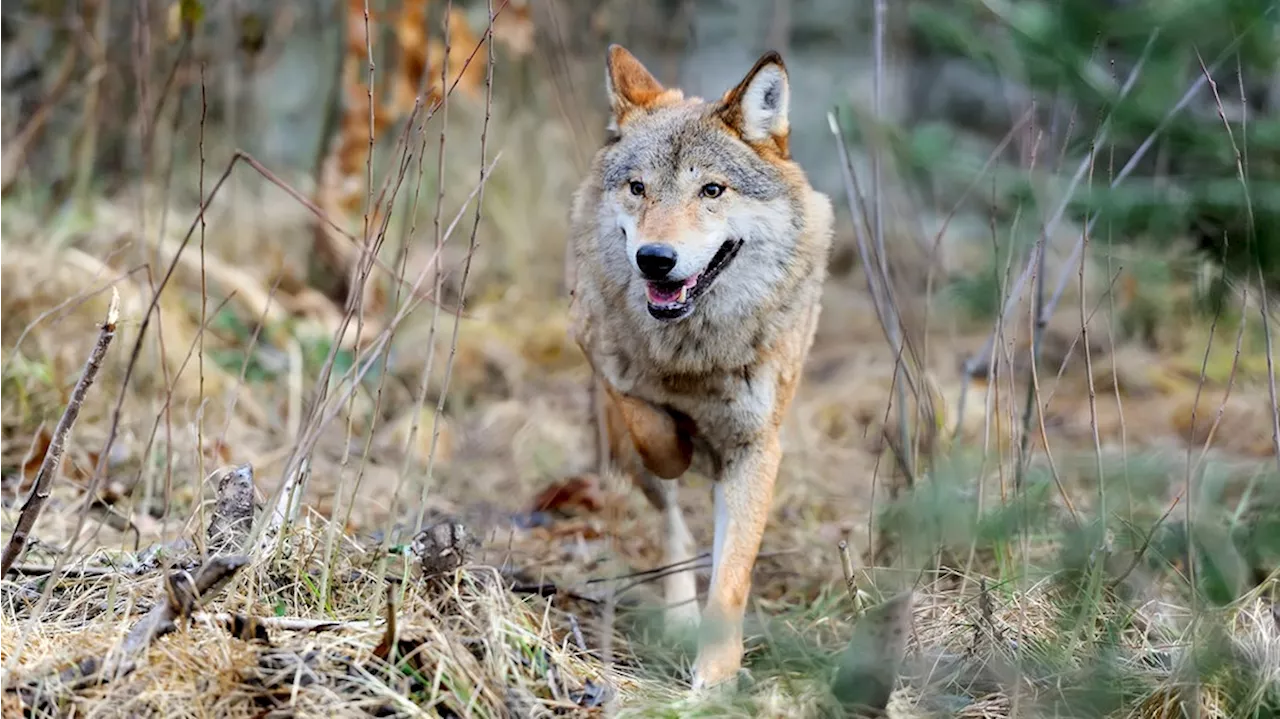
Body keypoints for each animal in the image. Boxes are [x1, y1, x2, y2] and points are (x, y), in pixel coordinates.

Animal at [565, 44, 834, 690]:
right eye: (638, 188)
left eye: (712, 190)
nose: (654, 259)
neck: (696, 354)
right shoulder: (603, 362)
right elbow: (651, 424)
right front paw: (679, 440)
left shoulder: (757, 448)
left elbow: (732, 576)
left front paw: (714, 680)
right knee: (670, 525)